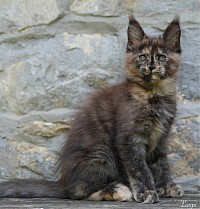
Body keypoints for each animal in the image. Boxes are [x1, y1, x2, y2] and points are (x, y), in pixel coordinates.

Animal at [0, 16, 184, 204]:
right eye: (142, 57)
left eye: (161, 57)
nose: (152, 66)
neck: (154, 94)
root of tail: (64, 182)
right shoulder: (129, 139)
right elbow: (140, 168)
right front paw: (147, 191)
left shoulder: (161, 139)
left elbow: (162, 164)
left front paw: (167, 186)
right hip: (101, 152)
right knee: (77, 191)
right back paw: (117, 190)